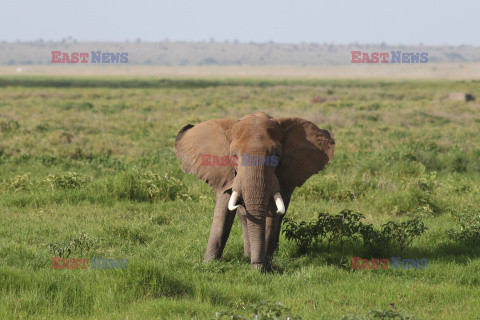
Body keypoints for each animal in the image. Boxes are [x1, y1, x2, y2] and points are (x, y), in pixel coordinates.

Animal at [174, 112, 336, 270]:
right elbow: (223, 211)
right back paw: (247, 256)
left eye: (276, 156)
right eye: (234, 156)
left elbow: (272, 214)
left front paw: (266, 264)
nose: (258, 267)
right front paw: (209, 264)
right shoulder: (227, 173)